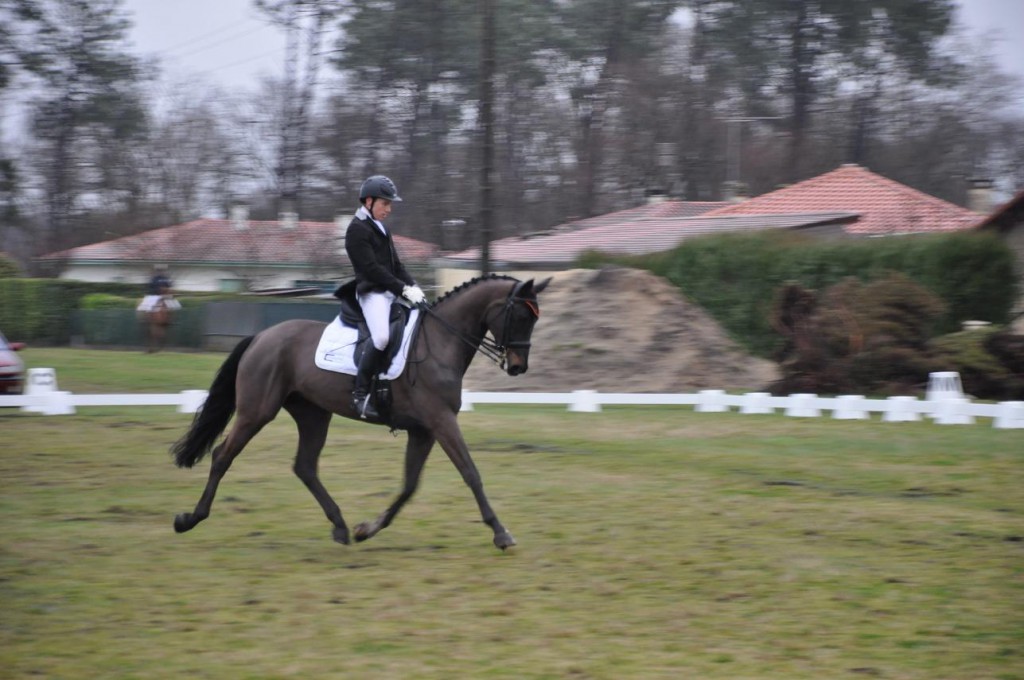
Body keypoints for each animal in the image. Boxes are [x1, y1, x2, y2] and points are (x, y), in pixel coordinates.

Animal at [169, 274, 552, 548]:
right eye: (520, 315)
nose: (518, 367)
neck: (441, 342)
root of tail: (261, 336)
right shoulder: (442, 422)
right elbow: (471, 473)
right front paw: (500, 532)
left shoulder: (424, 430)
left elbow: (409, 485)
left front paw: (368, 529)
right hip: (257, 411)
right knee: (223, 455)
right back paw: (190, 519)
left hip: (313, 414)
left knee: (305, 466)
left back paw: (340, 527)